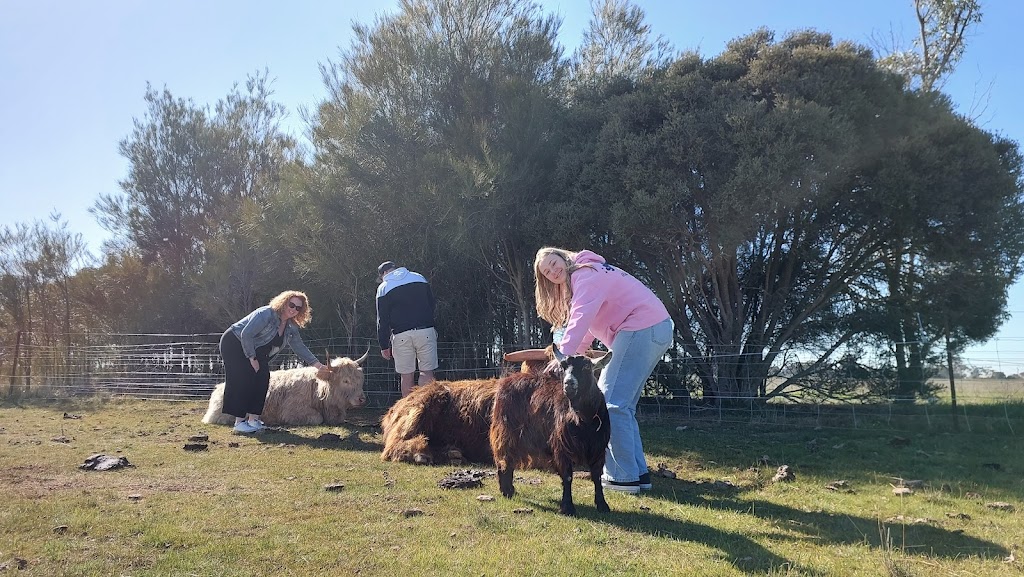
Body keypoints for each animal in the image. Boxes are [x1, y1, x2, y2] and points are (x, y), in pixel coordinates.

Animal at [201, 350, 370, 426]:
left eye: (360, 379)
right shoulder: (293, 411)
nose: (362, 399)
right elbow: (317, 418)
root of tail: (219, 386)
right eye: (346, 380)